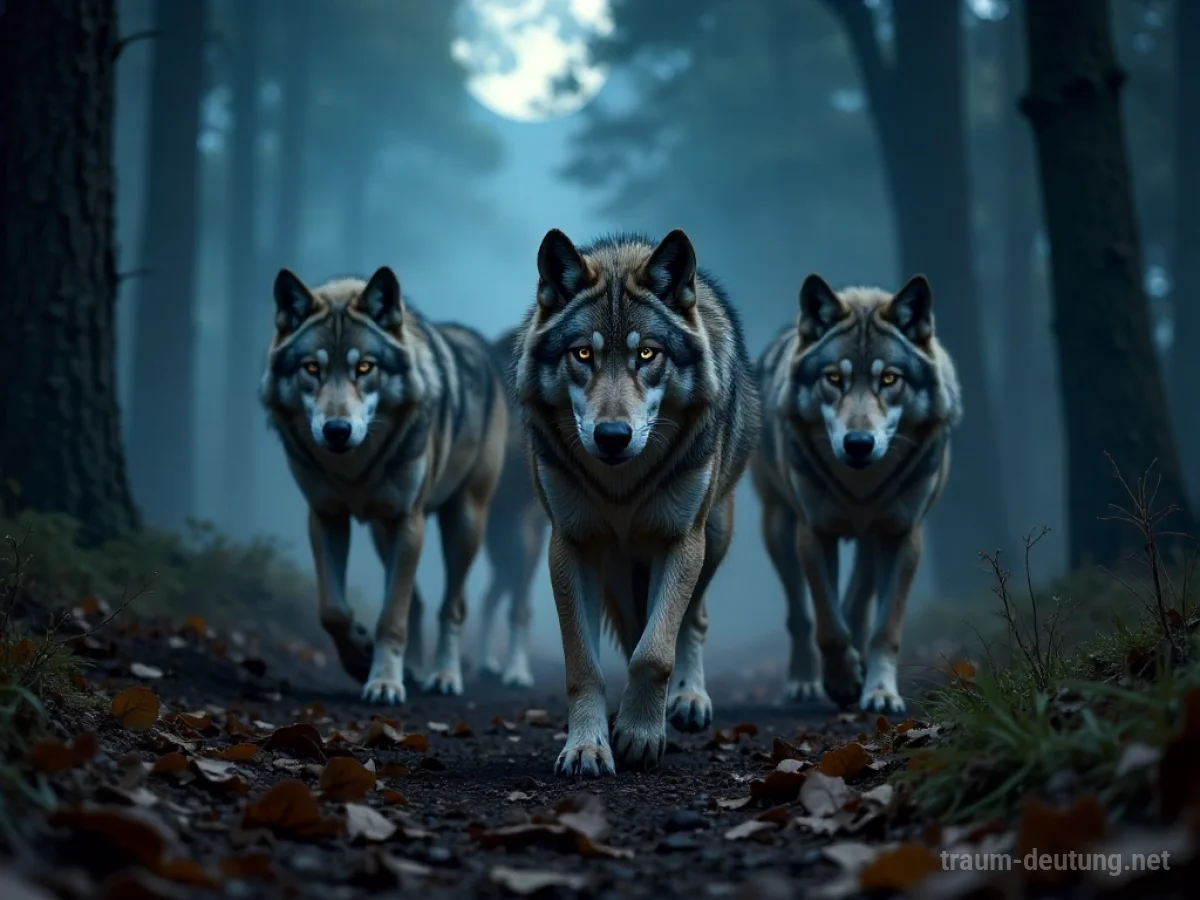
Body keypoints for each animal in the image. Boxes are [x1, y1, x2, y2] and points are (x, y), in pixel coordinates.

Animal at [260, 266, 508, 704]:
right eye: (312, 368)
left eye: (365, 367)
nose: (337, 430)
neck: (353, 470)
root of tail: (480, 342)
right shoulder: (326, 517)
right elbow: (334, 611)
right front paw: (360, 658)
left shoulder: (407, 521)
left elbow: (391, 618)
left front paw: (385, 683)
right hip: (381, 533)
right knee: (420, 604)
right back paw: (414, 668)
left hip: (463, 523)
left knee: (452, 606)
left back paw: (444, 677)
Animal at [513, 228, 761, 776]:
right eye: (583, 355)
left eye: (647, 355)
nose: (612, 436)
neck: (620, 483)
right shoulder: (572, 546)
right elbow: (584, 665)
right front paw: (588, 746)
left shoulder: (680, 539)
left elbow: (655, 653)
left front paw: (642, 734)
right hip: (620, 567)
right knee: (633, 629)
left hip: (712, 536)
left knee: (690, 621)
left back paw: (687, 701)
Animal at [750, 273, 962, 714]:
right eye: (834, 378)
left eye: (889, 379)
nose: (859, 444)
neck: (859, 485)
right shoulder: (814, 534)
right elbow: (828, 626)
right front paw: (843, 682)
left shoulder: (902, 536)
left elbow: (884, 629)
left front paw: (880, 693)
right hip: (778, 527)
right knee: (800, 615)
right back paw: (804, 683)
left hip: (871, 536)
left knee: (858, 601)